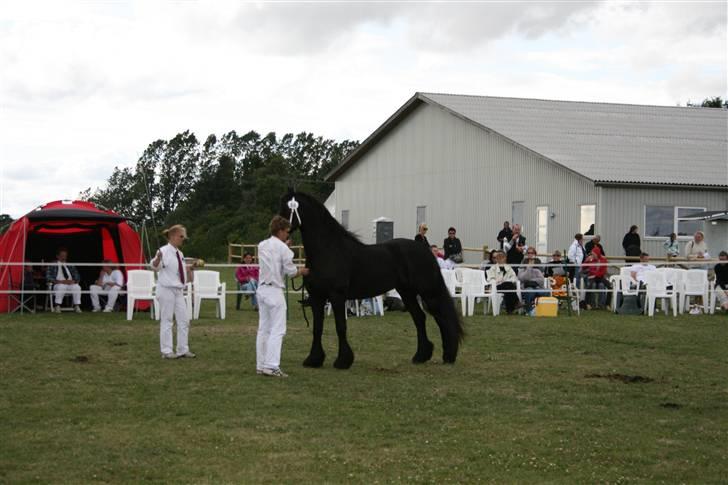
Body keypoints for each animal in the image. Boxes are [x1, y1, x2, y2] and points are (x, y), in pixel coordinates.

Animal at [282, 189, 464, 366]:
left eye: (288, 208)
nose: (281, 228)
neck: (328, 250)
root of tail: (424, 249)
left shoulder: (337, 296)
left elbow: (340, 326)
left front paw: (343, 361)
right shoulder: (317, 297)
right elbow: (317, 328)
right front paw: (314, 359)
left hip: (428, 291)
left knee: (442, 317)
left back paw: (448, 355)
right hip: (407, 292)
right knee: (420, 318)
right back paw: (421, 356)